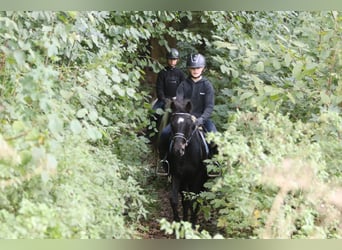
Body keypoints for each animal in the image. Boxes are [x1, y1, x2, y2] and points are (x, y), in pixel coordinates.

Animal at [163, 98, 208, 226]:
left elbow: (194, 199)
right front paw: (179, 222)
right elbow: (174, 200)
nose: (178, 149)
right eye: (172, 124)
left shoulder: (198, 177)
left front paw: (192, 223)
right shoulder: (177, 175)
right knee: (185, 199)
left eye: (190, 125)